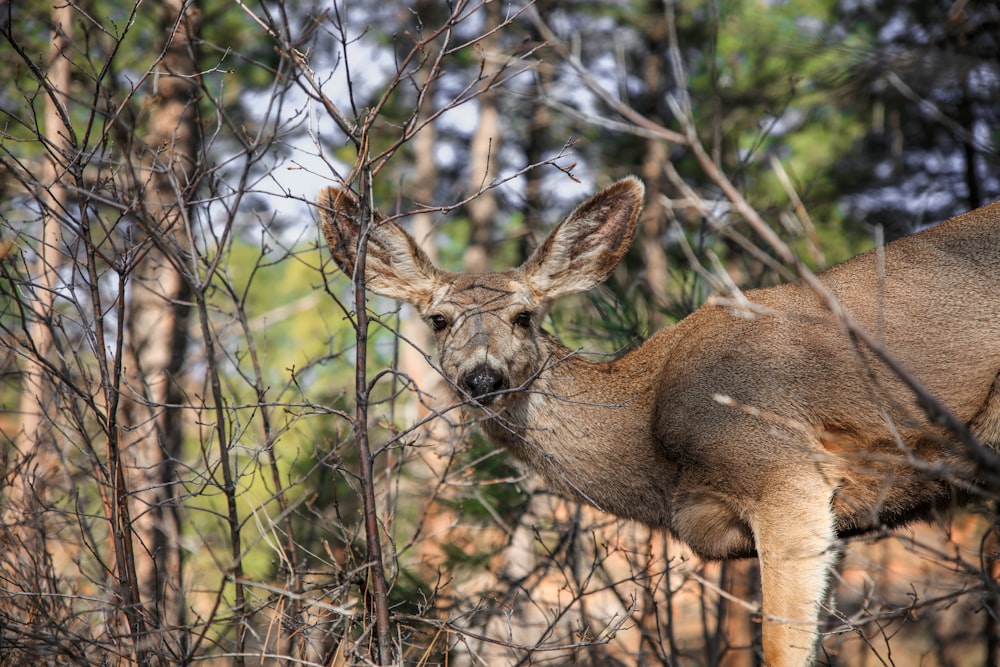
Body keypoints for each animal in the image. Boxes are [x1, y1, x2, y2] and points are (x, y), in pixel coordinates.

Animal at [318, 179, 1000, 667]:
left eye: (524, 316)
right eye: (437, 320)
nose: (482, 379)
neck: (653, 448)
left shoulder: (785, 471)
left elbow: (780, 646)